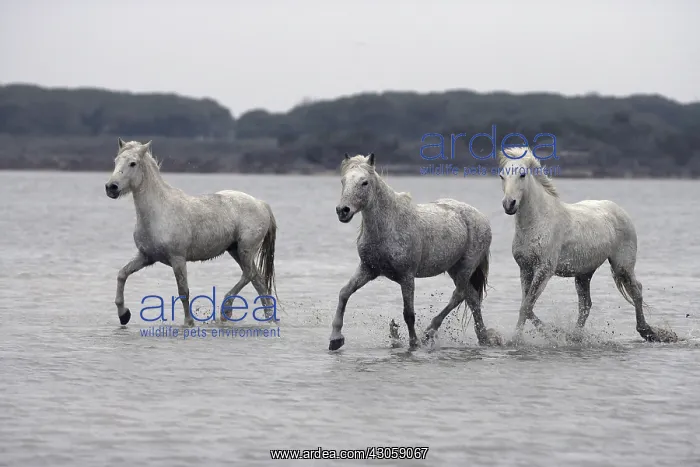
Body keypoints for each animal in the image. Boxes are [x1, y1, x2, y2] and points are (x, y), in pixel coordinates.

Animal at [105, 138, 278, 326]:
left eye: (133, 163)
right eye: (116, 161)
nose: (111, 187)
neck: (159, 211)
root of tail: (261, 204)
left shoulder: (178, 259)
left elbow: (183, 291)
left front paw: (189, 322)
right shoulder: (146, 257)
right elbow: (122, 275)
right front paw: (123, 314)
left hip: (246, 249)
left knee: (249, 275)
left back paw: (227, 310)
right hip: (236, 250)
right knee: (258, 281)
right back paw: (269, 318)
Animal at [329, 152, 503, 351]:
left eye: (364, 182)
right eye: (343, 181)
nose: (343, 211)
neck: (389, 225)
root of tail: (482, 218)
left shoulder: (407, 276)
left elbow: (409, 313)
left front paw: (414, 343)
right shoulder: (368, 269)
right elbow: (344, 293)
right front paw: (335, 338)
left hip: (466, 267)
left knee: (458, 295)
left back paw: (429, 331)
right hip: (454, 268)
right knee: (472, 298)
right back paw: (483, 338)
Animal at [497, 146, 677, 343]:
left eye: (522, 174)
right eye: (501, 176)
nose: (509, 204)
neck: (537, 222)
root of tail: (619, 210)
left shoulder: (544, 270)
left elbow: (527, 306)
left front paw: (548, 333)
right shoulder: (525, 269)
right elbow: (526, 306)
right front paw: (531, 335)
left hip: (622, 265)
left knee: (636, 291)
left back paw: (648, 332)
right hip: (584, 274)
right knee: (586, 305)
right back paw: (576, 336)